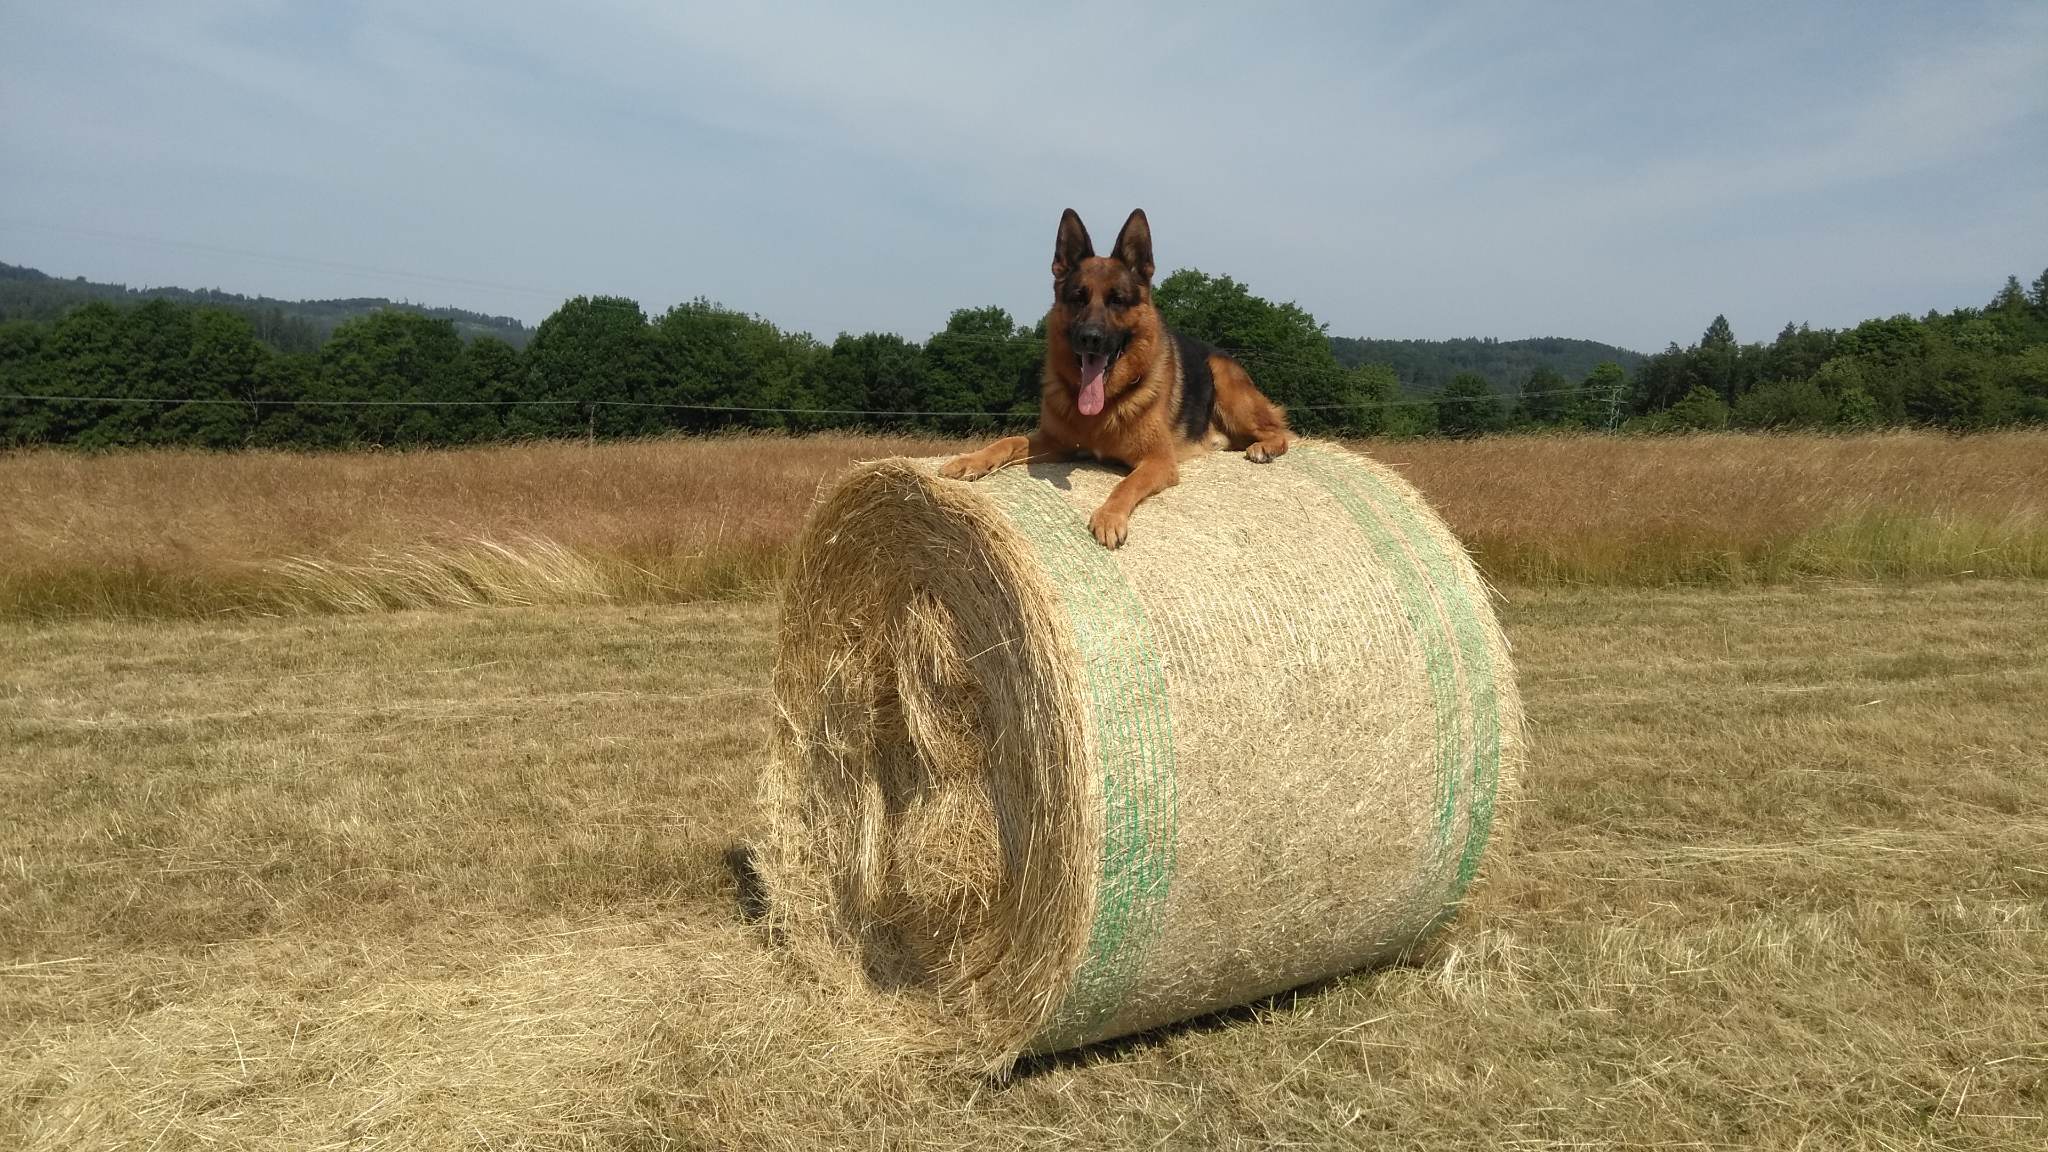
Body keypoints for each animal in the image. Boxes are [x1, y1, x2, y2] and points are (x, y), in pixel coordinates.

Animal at [939, 208, 1291, 549]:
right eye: (1078, 297)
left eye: (1117, 300)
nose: (1090, 338)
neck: (1103, 407)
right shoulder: (1056, 444)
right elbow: (1009, 441)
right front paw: (969, 460)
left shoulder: (1158, 461)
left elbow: (1127, 483)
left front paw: (1109, 517)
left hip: (1227, 386)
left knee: (1280, 430)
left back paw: (1264, 448)